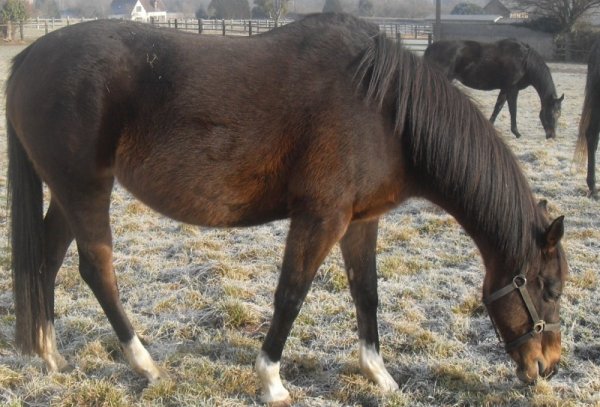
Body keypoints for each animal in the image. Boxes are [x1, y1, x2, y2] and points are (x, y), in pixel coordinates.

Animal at [422, 38, 564, 140]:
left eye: (559, 113)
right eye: (552, 113)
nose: (552, 136)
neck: (524, 61)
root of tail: (430, 49)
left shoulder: (504, 89)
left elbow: (498, 107)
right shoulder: (512, 89)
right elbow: (512, 110)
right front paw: (517, 133)